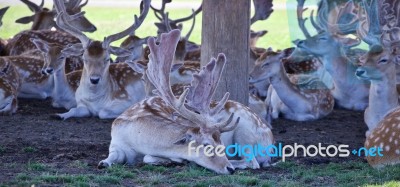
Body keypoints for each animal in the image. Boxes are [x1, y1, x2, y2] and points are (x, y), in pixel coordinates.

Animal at [100, 29, 276, 174]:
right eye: (206, 145)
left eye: (222, 145)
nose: (229, 169)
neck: (137, 139)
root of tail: (270, 136)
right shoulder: (115, 142)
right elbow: (108, 159)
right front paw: (105, 162)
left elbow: (148, 157)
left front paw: (172, 160)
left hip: (244, 134)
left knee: (252, 162)